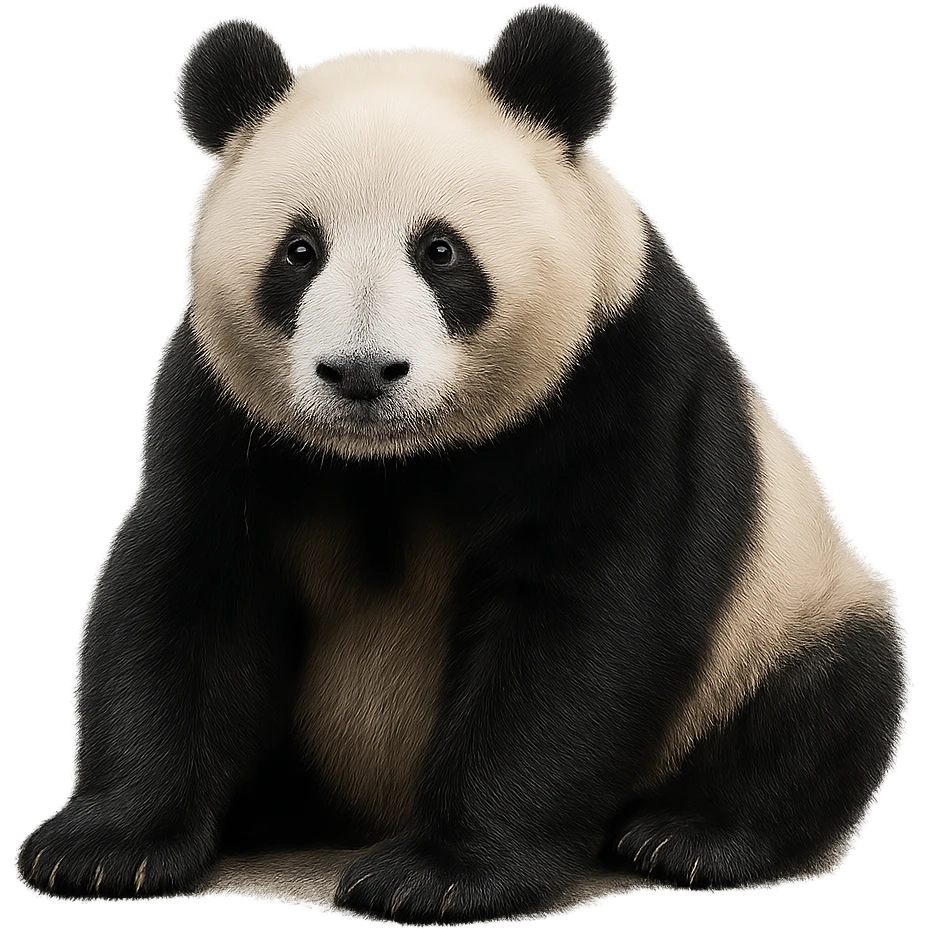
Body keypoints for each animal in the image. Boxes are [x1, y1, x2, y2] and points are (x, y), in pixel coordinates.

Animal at [19, 6, 905, 921]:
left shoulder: (622, 376)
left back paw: (689, 836)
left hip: (788, 608)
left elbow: (581, 618)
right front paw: (105, 847)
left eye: (440, 252)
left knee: (821, 701)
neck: (392, 457)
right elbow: (190, 590)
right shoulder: (223, 407)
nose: (362, 372)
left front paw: (438, 872)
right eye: (299, 252)